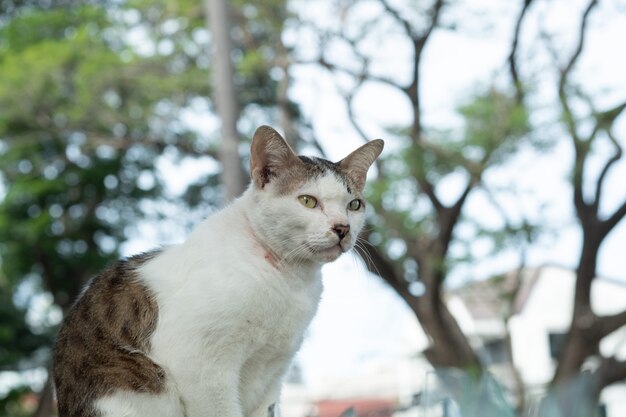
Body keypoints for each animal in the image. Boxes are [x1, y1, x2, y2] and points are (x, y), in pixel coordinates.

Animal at [52, 125, 380, 416]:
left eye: (354, 205)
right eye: (308, 201)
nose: (342, 228)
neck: (288, 278)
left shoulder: (273, 374)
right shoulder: (202, 367)